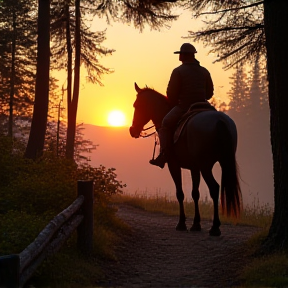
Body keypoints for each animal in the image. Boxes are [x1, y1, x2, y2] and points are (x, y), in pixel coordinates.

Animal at [129, 82, 242, 236]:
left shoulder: (174, 165)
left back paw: (215, 227)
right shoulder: (194, 168)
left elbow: (180, 193)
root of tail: (219, 121)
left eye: (136, 105)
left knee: (214, 188)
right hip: (224, 162)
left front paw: (182, 223)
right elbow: (195, 193)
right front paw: (196, 224)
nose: (132, 130)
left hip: (206, 166)